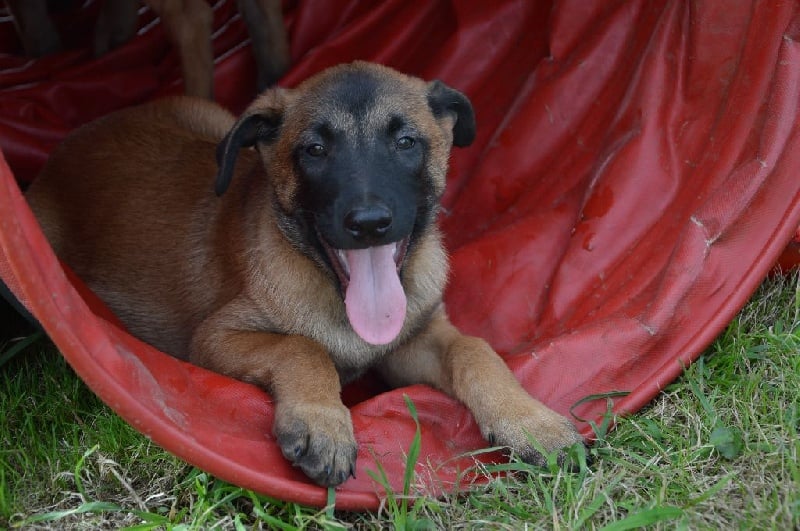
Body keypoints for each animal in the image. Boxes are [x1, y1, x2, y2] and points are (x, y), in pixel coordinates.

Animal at [25, 61, 580, 486]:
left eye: (406, 142)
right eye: (315, 150)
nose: (369, 222)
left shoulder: (412, 340)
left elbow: (475, 349)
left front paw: (533, 423)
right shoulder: (213, 338)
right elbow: (303, 346)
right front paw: (322, 423)